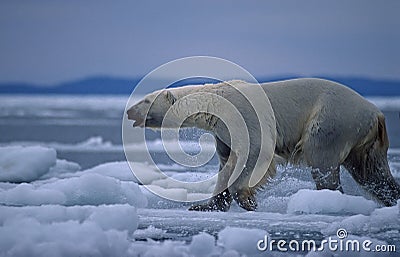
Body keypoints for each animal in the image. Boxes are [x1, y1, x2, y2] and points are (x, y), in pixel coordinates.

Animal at [127, 78, 400, 210]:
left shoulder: (243, 114)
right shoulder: (223, 132)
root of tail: (377, 113)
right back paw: (391, 198)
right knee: (372, 173)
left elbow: (256, 152)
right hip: (364, 141)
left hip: (331, 120)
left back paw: (327, 198)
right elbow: (226, 163)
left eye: (145, 100)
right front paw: (205, 205)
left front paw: (247, 200)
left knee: (322, 160)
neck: (215, 104)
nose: (129, 111)